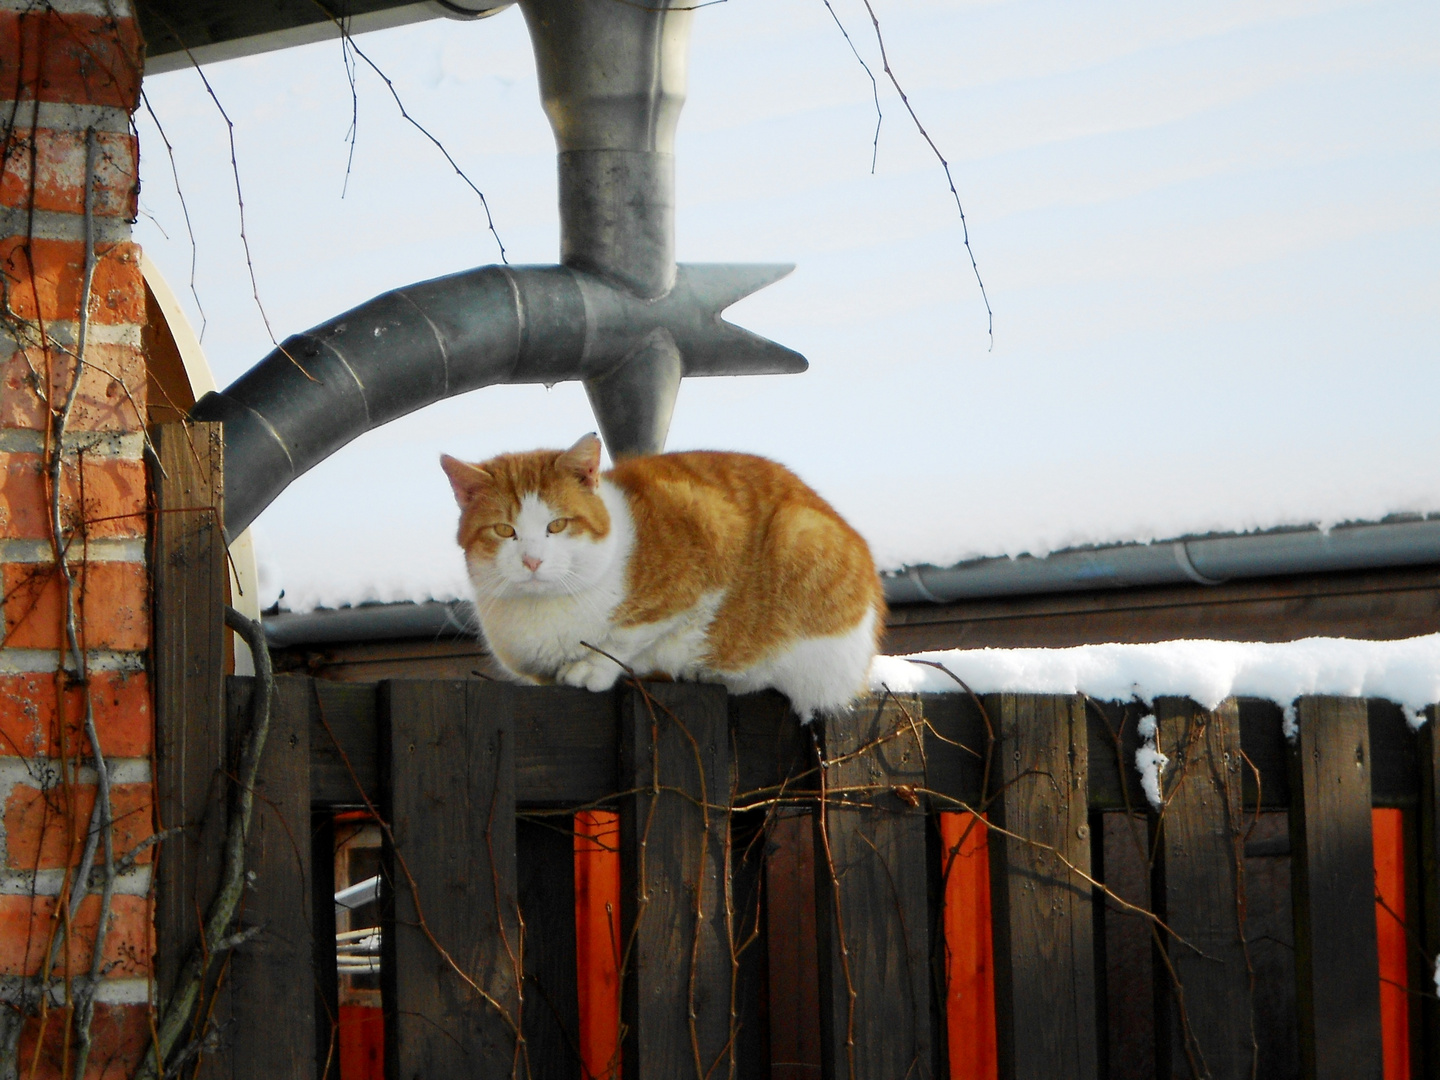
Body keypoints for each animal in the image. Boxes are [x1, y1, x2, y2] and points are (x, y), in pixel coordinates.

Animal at [443, 432, 881, 720]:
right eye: (504, 530)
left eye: (557, 525)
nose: (532, 561)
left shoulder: (709, 535)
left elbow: (631, 633)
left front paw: (593, 666)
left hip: (801, 535)